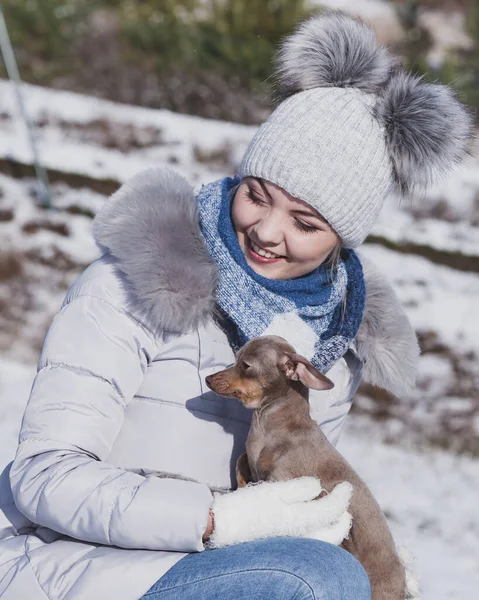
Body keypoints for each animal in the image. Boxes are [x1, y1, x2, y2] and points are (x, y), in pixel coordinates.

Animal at [206, 336, 408, 596]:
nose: (207, 379)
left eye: (245, 365)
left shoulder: (282, 478)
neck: (267, 425)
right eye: (236, 358)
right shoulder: (252, 461)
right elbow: (242, 460)